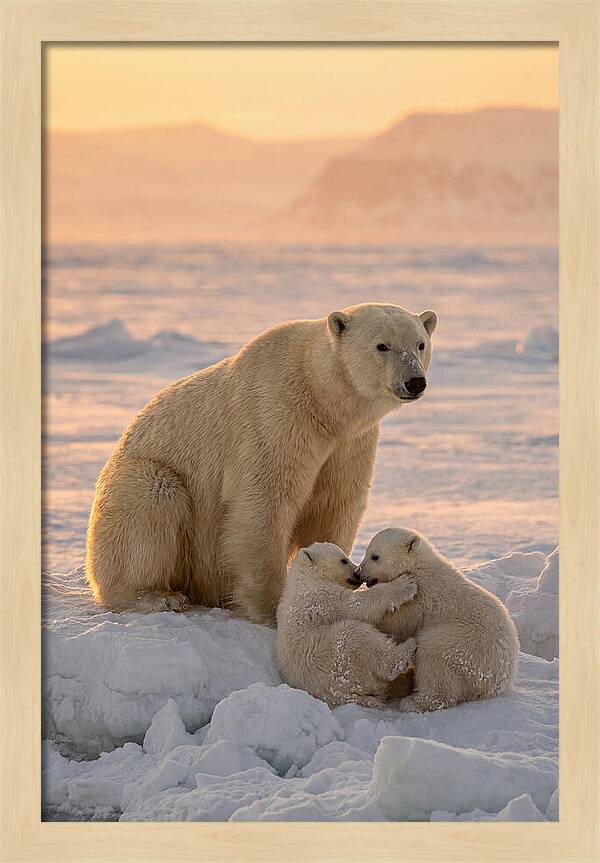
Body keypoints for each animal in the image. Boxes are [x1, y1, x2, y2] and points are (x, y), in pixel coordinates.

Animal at [86, 303, 437, 623]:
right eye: (382, 345)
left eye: (420, 344)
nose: (414, 381)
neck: (321, 399)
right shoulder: (275, 416)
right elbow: (264, 503)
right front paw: (273, 607)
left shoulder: (349, 443)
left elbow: (334, 503)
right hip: (140, 479)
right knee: (152, 501)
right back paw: (158, 596)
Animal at [276, 542, 417, 708]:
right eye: (343, 560)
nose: (357, 573)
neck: (305, 578)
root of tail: (343, 695)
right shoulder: (321, 597)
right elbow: (357, 605)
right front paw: (405, 583)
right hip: (336, 660)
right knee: (357, 637)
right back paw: (408, 646)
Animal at [356, 528, 520, 713]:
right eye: (367, 552)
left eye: (375, 556)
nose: (358, 573)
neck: (417, 566)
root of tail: (499, 682)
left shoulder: (419, 600)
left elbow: (397, 623)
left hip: (466, 646)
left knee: (433, 653)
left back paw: (413, 702)